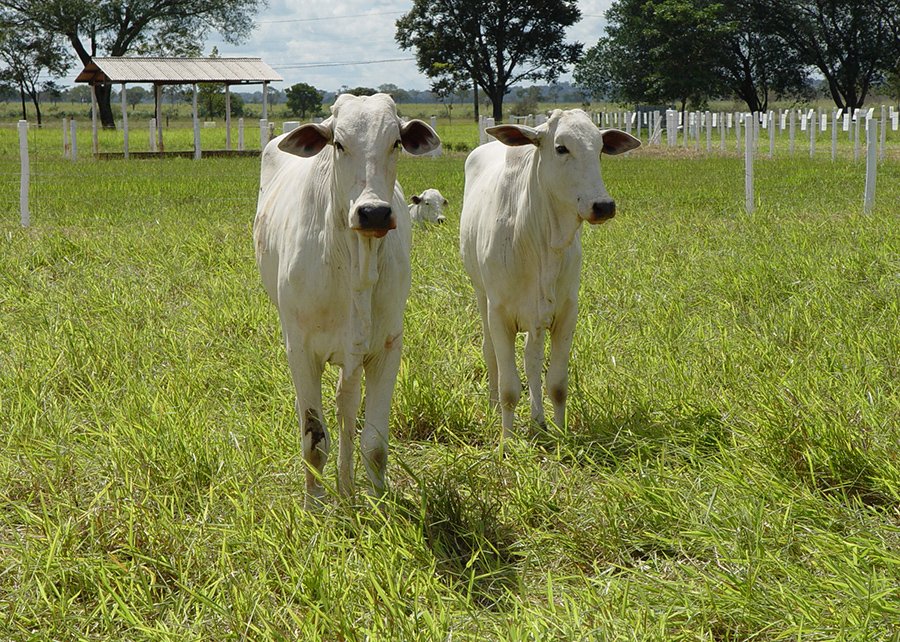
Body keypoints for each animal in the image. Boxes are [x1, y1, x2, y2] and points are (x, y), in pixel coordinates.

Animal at [253, 94, 440, 504]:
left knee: (346, 408)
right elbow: (313, 441)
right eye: (338, 144)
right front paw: (313, 507)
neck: (355, 264)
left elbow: (374, 442)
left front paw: (379, 503)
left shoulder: (386, 348)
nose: (374, 213)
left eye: (396, 142)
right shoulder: (301, 351)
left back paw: (347, 487)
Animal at [458, 110, 640, 438]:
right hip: (480, 295)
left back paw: (538, 419)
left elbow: (556, 383)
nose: (604, 206)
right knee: (489, 352)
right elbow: (509, 388)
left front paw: (560, 431)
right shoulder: (499, 314)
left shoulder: (565, 313)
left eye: (600, 149)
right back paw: (494, 408)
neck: (540, 240)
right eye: (561, 148)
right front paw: (506, 440)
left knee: (531, 359)